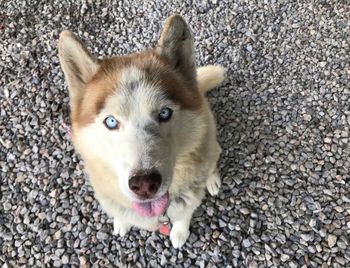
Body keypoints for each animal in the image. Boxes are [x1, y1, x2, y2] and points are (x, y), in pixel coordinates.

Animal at [58, 14, 226, 248]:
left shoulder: (188, 200)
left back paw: (212, 180)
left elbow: (184, 215)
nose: (144, 185)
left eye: (164, 113)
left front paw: (179, 233)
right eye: (111, 121)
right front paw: (122, 222)